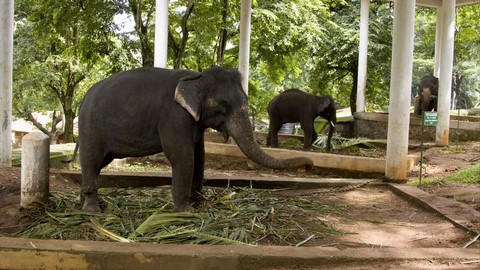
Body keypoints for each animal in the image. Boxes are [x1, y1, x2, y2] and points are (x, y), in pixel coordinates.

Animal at [77, 66, 314, 212]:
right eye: (222, 104)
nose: (309, 166)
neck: (196, 77)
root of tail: (84, 97)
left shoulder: (194, 121)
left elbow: (200, 156)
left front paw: (199, 203)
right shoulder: (174, 115)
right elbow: (183, 156)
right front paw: (185, 211)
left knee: (97, 164)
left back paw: (86, 204)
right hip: (90, 126)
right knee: (91, 161)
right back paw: (93, 211)